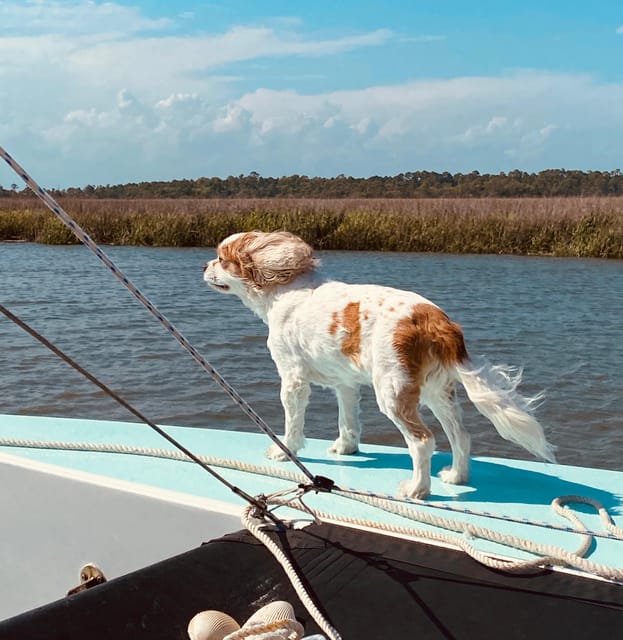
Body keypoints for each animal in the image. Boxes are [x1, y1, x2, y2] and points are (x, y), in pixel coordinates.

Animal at [204, 231, 556, 500]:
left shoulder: (292, 379)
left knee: (423, 441)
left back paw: (417, 489)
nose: (204, 265)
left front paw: (284, 451)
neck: (286, 288)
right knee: (460, 434)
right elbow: (347, 421)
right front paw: (346, 448)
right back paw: (456, 476)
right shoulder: (345, 384)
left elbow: (292, 423)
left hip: (393, 392)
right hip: (437, 392)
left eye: (221, 259)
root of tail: (436, 320)